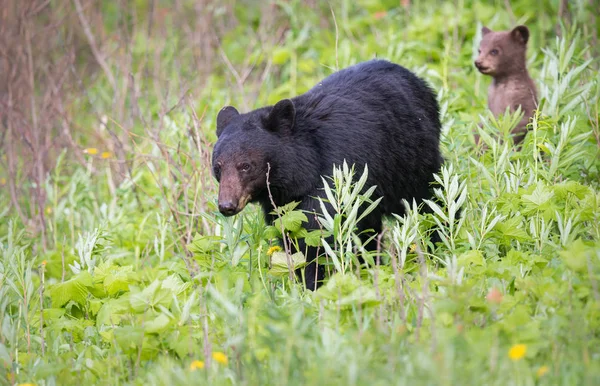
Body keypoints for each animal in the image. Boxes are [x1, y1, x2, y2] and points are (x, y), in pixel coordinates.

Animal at [211, 58, 440, 290]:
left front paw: (316, 284)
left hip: (409, 163)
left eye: (245, 166)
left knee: (429, 203)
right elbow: (292, 239)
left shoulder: (333, 179)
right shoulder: (282, 207)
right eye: (218, 167)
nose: (227, 205)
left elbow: (320, 237)